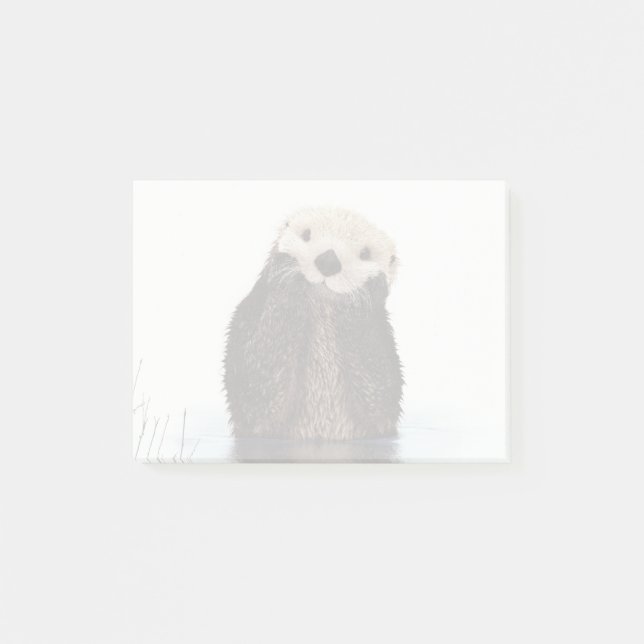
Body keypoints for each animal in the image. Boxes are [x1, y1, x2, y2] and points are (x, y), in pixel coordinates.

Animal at [224, 207, 403, 441]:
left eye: (365, 254)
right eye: (306, 235)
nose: (329, 261)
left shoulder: (384, 346)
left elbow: (381, 397)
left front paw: (367, 291)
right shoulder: (246, 319)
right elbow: (254, 393)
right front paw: (287, 272)